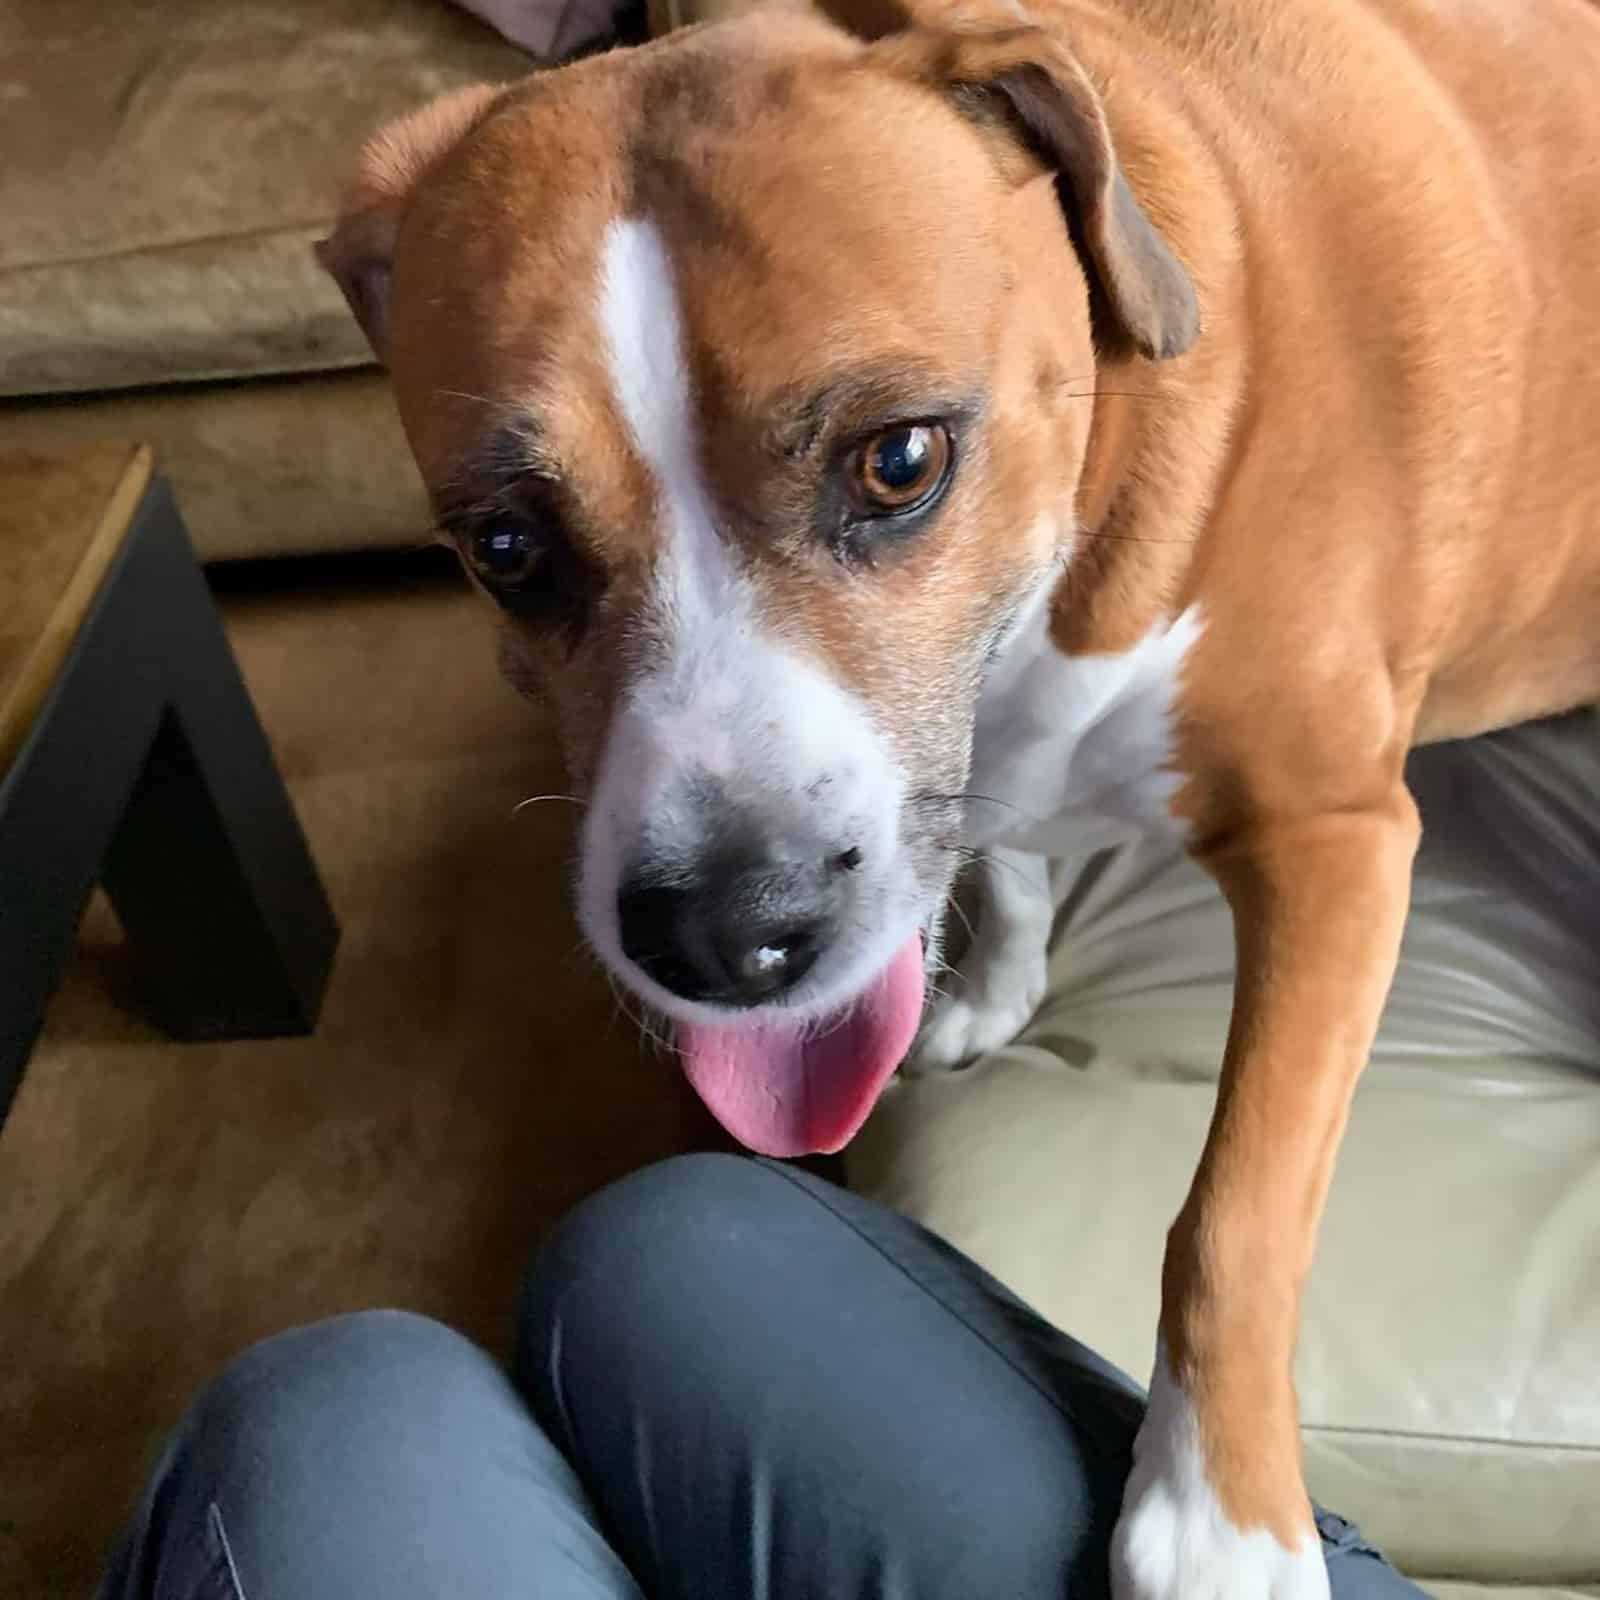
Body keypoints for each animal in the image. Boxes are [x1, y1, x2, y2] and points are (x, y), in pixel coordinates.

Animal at [318, 3, 1600, 1587]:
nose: (724, 936)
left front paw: (1216, 1511)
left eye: (901, 460)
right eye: (505, 547)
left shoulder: (1335, 841)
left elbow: (1236, 1209)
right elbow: (1006, 858)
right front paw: (998, 987)